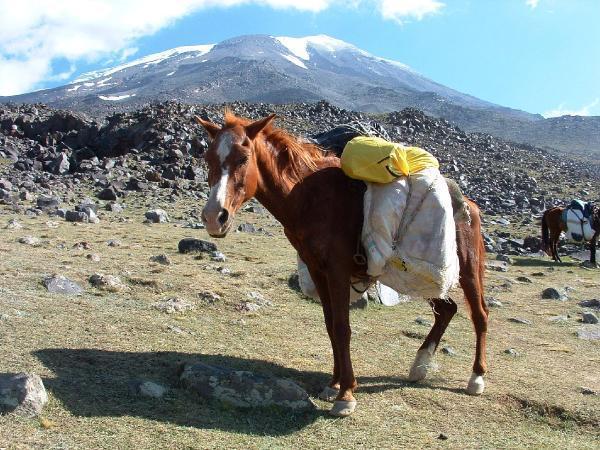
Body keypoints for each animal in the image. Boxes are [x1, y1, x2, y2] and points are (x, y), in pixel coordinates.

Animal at [196, 113, 488, 418]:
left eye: (243, 158)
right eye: (208, 157)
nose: (214, 217)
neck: (309, 197)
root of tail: (469, 204)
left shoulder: (337, 271)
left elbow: (341, 327)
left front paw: (346, 394)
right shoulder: (317, 269)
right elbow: (329, 324)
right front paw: (334, 384)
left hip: (466, 271)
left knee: (479, 314)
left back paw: (476, 378)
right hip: (423, 277)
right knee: (447, 309)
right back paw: (419, 366)